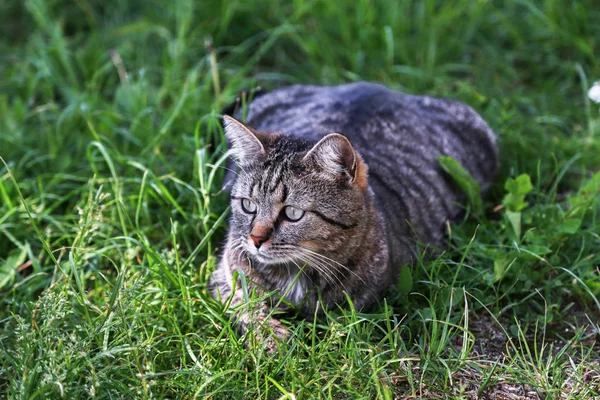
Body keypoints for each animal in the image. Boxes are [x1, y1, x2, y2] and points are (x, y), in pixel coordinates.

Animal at [209, 83, 500, 352]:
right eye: (248, 205)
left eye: (292, 213)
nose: (255, 239)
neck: (295, 272)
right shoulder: (226, 275)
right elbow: (247, 307)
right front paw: (271, 338)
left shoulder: (372, 301)